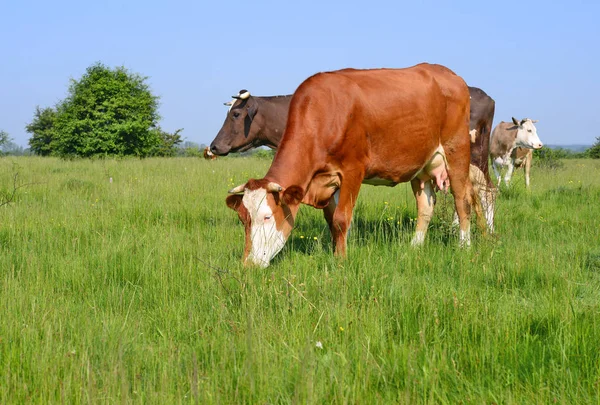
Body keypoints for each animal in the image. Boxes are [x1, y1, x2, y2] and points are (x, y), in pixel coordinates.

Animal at [225, 64, 482, 268]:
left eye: (267, 217)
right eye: (243, 219)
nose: (248, 264)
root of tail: (449, 74)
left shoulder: (352, 170)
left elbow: (341, 219)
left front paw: (341, 261)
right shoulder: (329, 179)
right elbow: (331, 220)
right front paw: (335, 253)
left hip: (456, 150)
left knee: (462, 200)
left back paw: (464, 246)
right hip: (422, 165)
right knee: (426, 207)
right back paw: (415, 246)